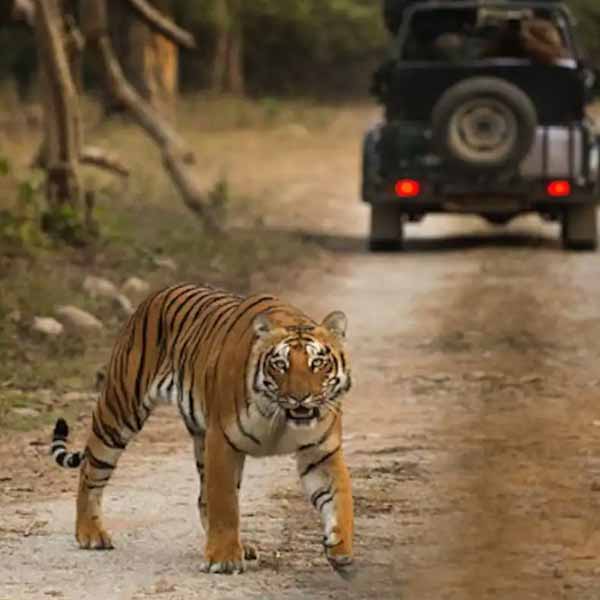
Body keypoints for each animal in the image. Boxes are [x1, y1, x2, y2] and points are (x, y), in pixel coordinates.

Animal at [50, 284, 356, 576]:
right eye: (280, 365)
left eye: (318, 363)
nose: (300, 397)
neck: (280, 418)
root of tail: (154, 296)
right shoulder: (222, 440)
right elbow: (225, 503)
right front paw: (223, 560)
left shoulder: (321, 451)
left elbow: (340, 499)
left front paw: (341, 550)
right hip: (120, 410)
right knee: (90, 469)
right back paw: (90, 534)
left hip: (198, 436)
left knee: (201, 497)